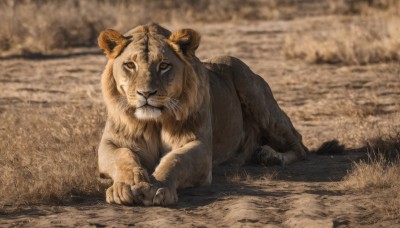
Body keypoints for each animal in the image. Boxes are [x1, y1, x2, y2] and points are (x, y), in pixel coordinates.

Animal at [97, 23, 310, 207]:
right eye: (130, 65)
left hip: (258, 99)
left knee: (300, 146)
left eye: (164, 65)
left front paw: (158, 187)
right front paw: (124, 186)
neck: (154, 122)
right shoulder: (110, 143)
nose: (146, 93)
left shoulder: (199, 144)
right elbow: (122, 156)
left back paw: (271, 156)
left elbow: (175, 160)